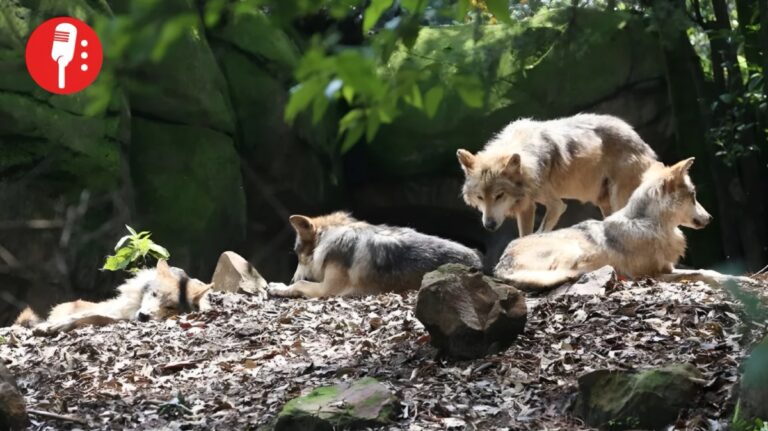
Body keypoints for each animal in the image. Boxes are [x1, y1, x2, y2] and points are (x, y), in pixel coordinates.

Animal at [267, 212, 482, 298]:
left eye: (298, 256)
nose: (291, 277)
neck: (333, 234)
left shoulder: (327, 290)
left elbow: (301, 284)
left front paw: (279, 287)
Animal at [457, 114, 657, 236]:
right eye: (480, 197)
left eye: (499, 195)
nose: (489, 225)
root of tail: (641, 142)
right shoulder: (526, 205)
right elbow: (523, 235)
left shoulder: (556, 205)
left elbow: (538, 234)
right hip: (604, 202)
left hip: (618, 199)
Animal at [492, 158, 749, 289]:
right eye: (694, 195)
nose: (710, 218)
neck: (648, 224)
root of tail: (500, 265)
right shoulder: (655, 274)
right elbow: (703, 273)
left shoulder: (667, 268)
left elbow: (708, 270)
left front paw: (743, 278)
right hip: (573, 250)